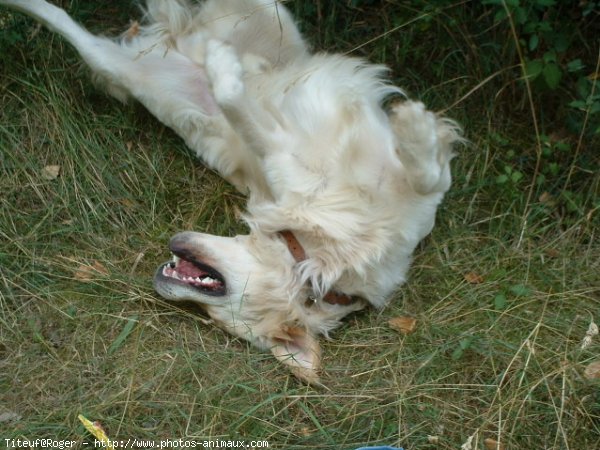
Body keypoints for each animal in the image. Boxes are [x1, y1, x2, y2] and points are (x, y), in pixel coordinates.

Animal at [2, 0, 462, 384]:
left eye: (213, 315)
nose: (160, 280)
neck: (316, 254)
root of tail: (178, 39)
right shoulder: (281, 157)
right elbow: (235, 103)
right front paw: (418, 129)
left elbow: (429, 177)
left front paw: (418, 130)